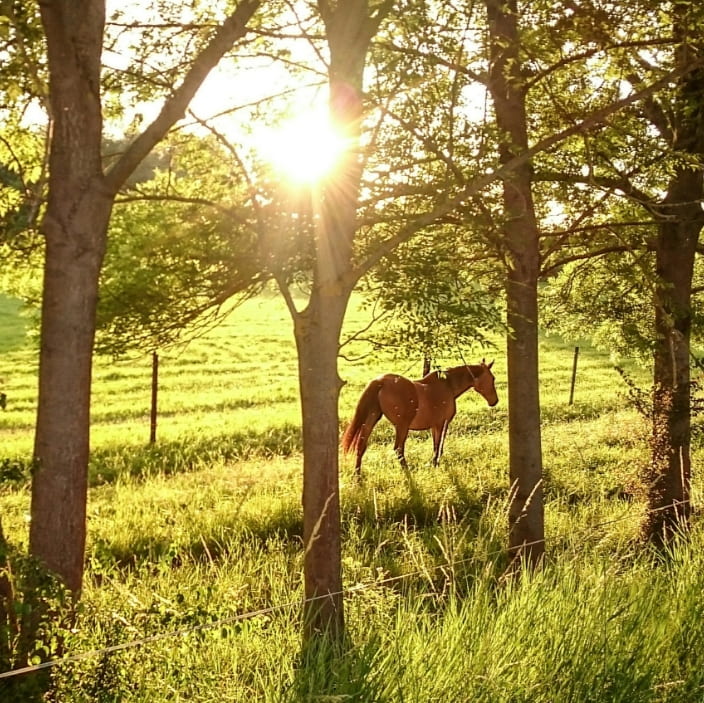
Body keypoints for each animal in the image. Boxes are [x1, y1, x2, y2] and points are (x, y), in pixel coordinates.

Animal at [340, 360, 496, 476]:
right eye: (492, 378)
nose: (495, 401)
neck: (448, 386)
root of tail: (380, 381)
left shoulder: (435, 426)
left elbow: (436, 446)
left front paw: (433, 464)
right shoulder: (442, 424)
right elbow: (439, 446)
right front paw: (435, 465)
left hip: (372, 419)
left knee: (361, 445)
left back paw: (358, 476)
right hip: (402, 426)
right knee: (398, 449)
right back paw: (407, 472)